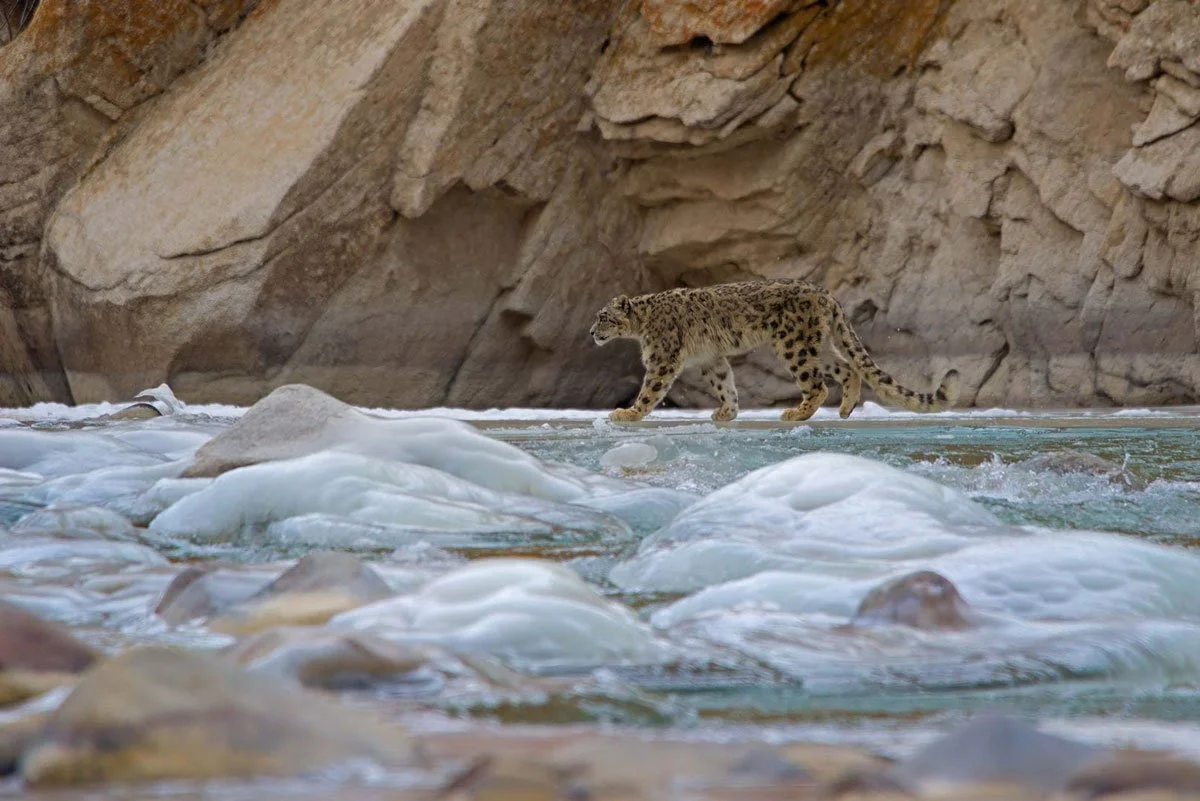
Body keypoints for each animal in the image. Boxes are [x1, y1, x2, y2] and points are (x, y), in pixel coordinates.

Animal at [589, 278, 959, 423]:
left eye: (603, 316)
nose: (591, 333)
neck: (642, 325)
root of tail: (824, 293)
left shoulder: (662, 358)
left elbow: (651, 390)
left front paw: (627, 413)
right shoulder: (711, 359)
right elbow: (724, 384)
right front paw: (727, 412)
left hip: (793, 344)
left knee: (817, 385)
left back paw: (796, 413)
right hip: (816, 346)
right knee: (847, 367)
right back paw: (846, 408)